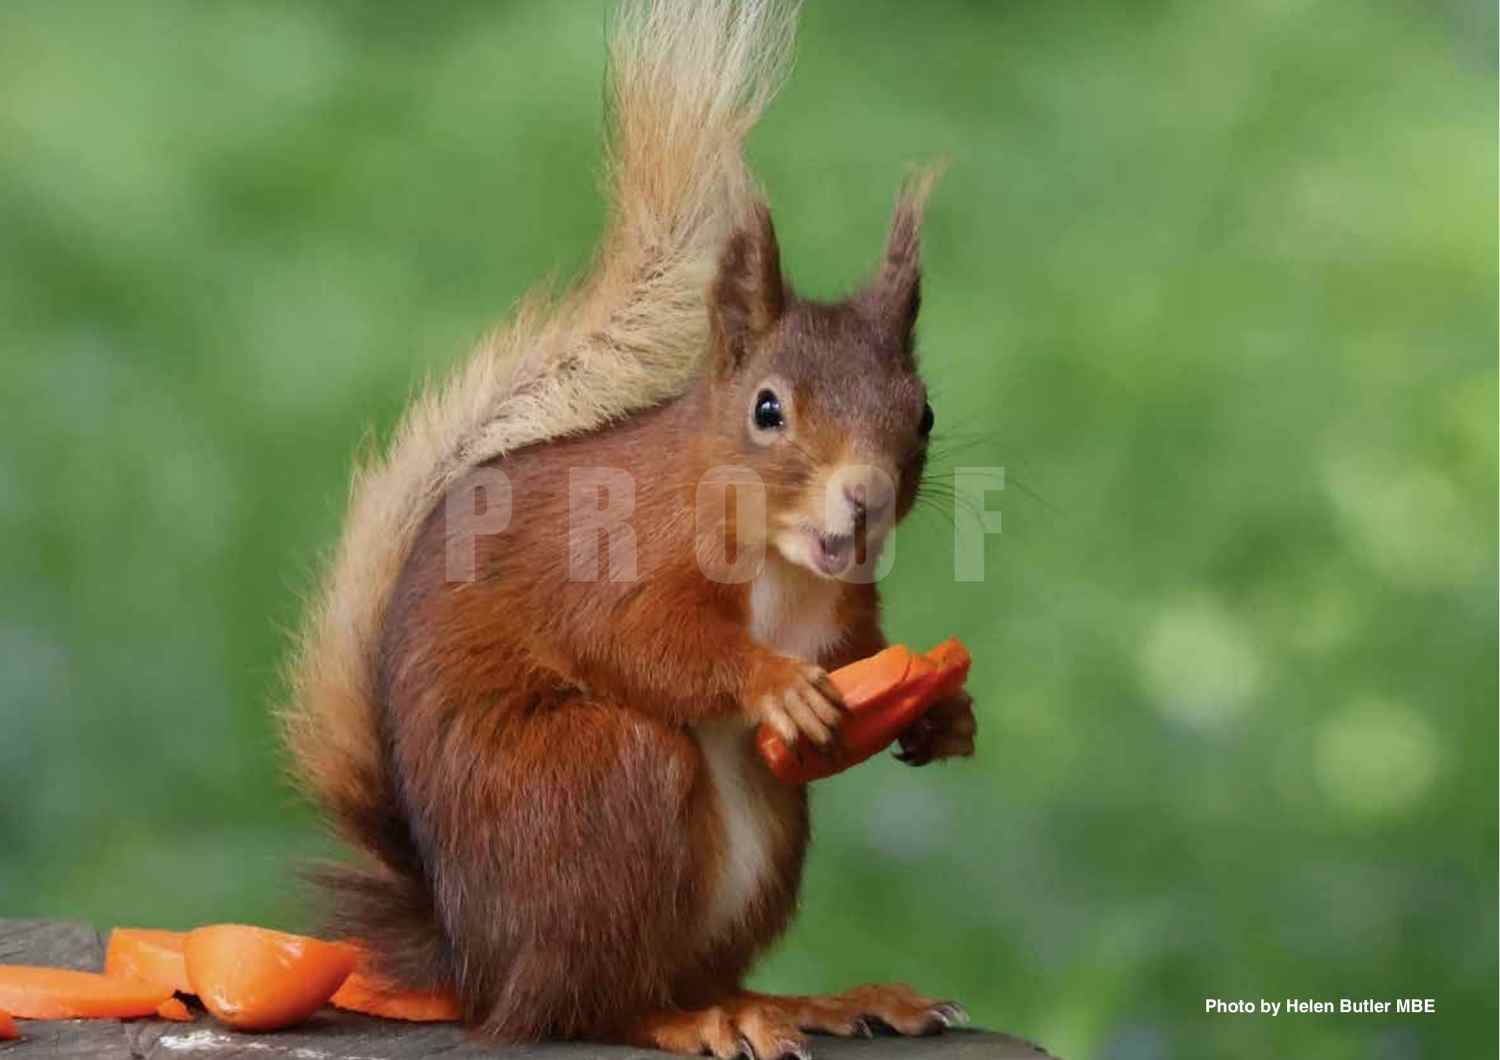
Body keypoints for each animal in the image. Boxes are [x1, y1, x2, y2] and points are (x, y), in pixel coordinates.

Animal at [280, 1, 977, 1056]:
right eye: (767, 410)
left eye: (925, 413)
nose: (862, 498)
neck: (779, 563)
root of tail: (472, 964)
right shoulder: (615, 557)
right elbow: (642, 639)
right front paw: (773, 682)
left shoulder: (845, 612)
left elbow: (866, 654)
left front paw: (942, 714)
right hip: (600, 784)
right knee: (583, 1003)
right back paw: (686, 1021)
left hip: (768, 831)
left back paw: (801, 1002)